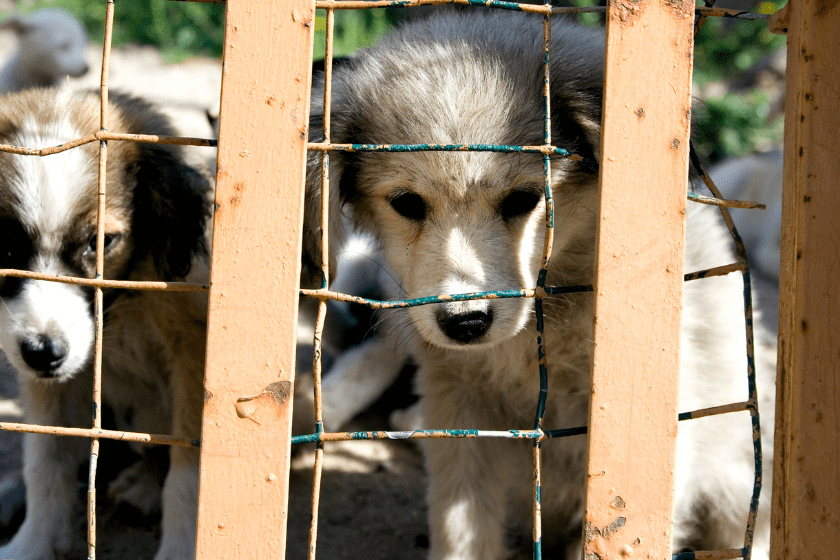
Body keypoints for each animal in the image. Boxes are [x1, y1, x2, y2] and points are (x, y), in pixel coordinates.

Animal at [0, 87, 209, 560]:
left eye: (102, 242)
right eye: (3, 246)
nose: (43, 354)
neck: (126, 302)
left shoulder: (194, 352)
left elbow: (187, 470)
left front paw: (178, 547)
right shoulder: (45, 376)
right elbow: (44, 459)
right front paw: (32, 543)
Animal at [306, 9, 776, 560]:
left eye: (523, 199)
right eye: (406, 203)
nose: (465, 323)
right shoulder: (459, 412)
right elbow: (462, 532)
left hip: (735, 483)